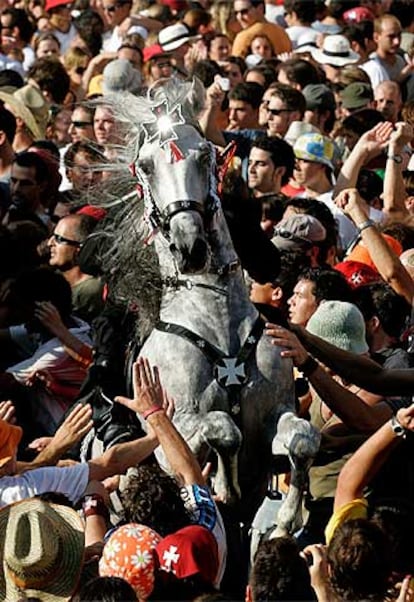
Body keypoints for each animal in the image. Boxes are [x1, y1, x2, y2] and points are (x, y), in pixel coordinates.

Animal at [98, 81, 318, 528]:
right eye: (146, 166)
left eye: (205, 155)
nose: (190, 246)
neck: (217, 325)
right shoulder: (174, 435)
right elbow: (223, 428)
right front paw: (222, 485)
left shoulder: (275, 417)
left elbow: (302, 438)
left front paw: (289, 517)